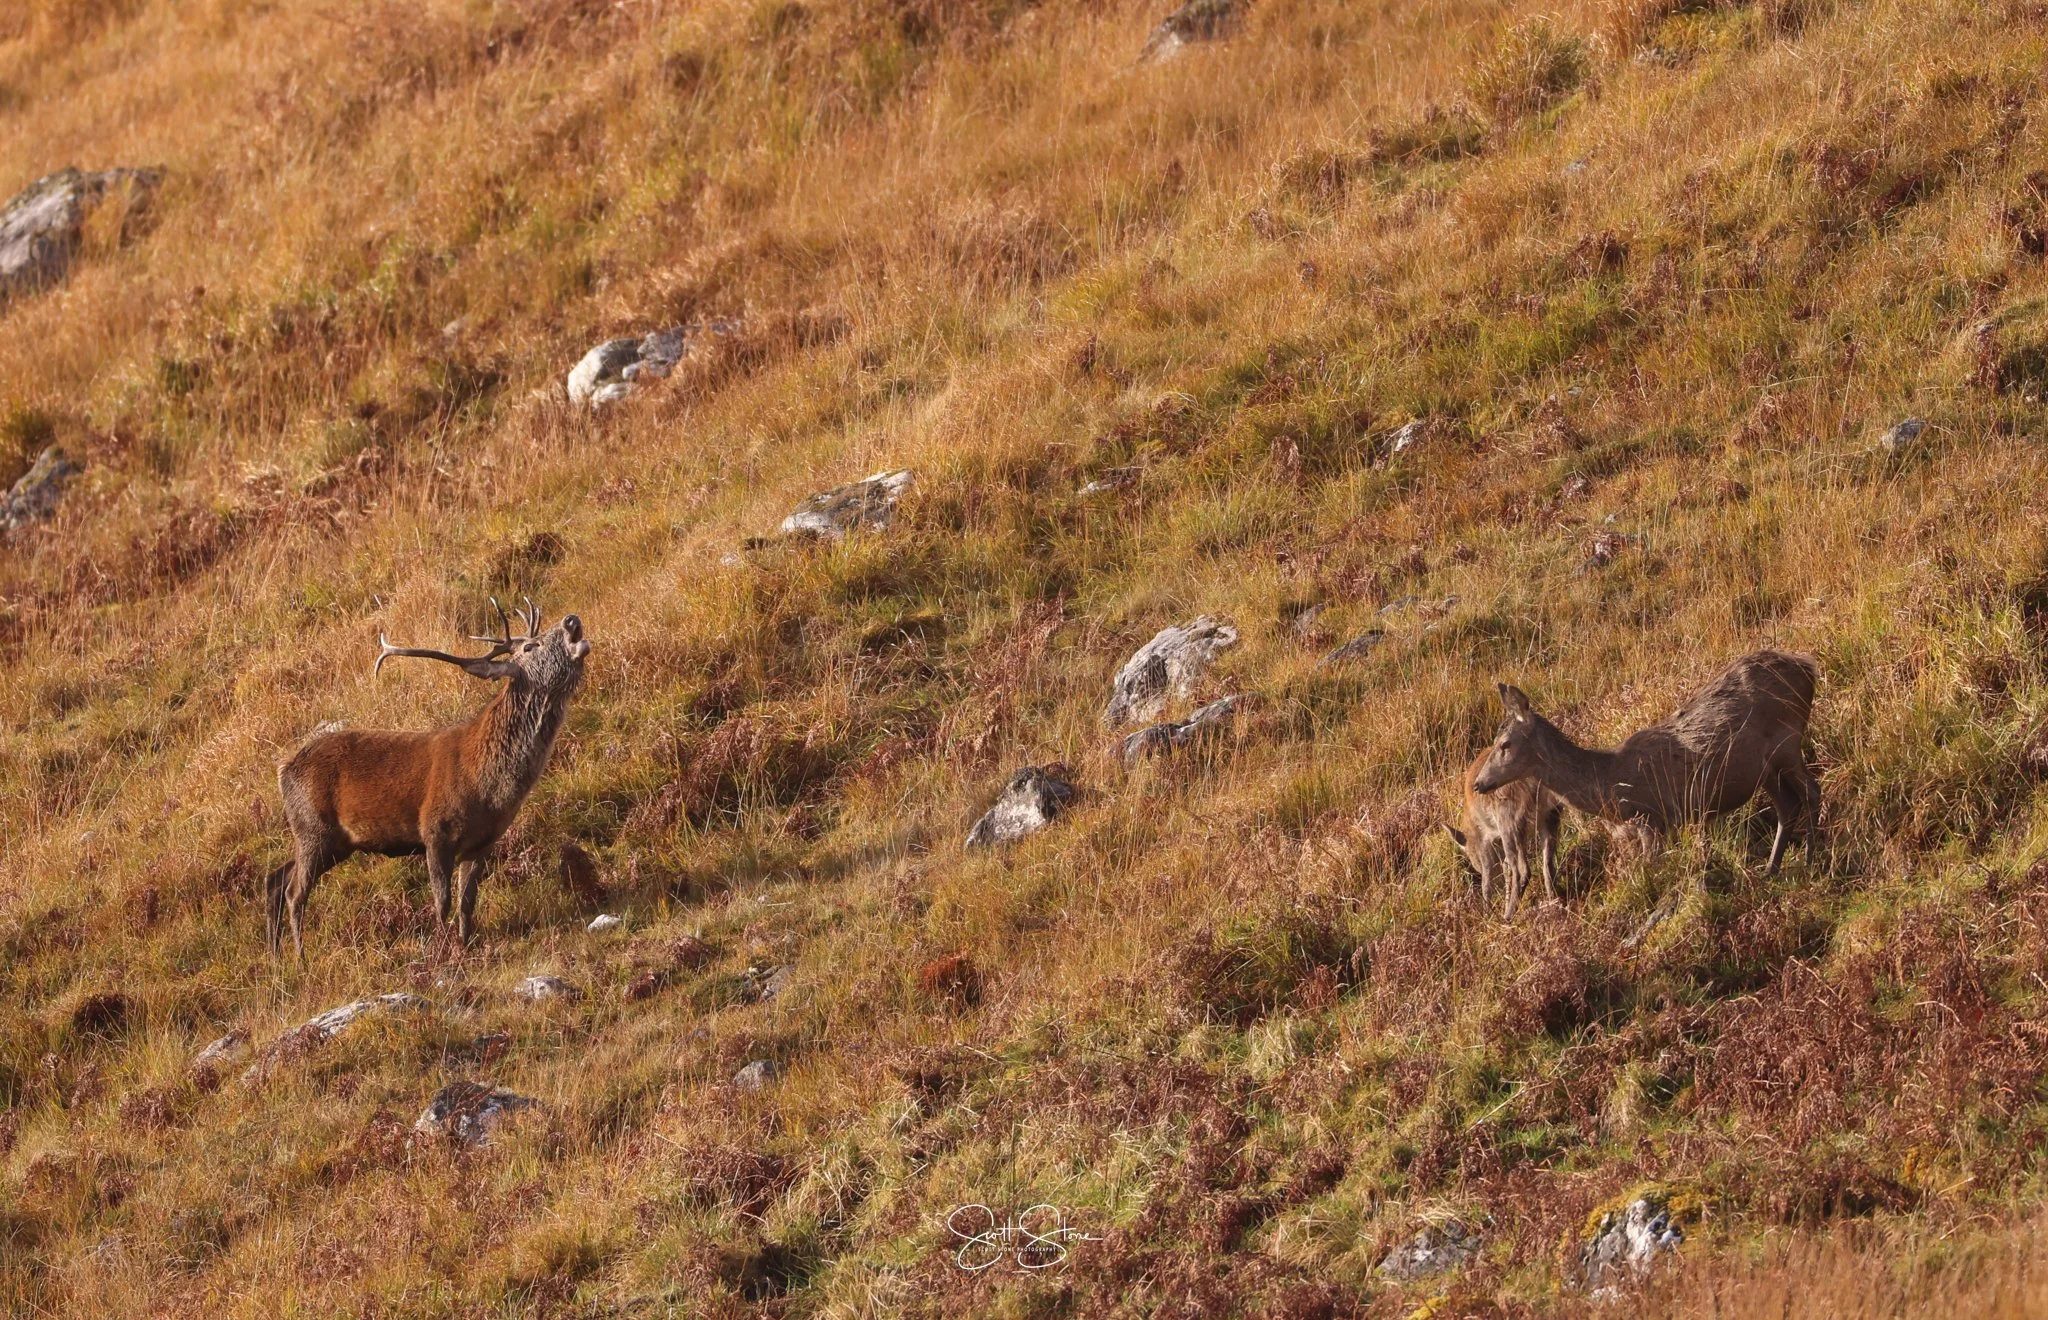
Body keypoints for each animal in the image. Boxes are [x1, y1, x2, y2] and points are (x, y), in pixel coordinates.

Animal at [265, 600, 590, 960]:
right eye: (531, 646)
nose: (571, 620)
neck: (489, 787)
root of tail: (283, 769)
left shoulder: (483, 842)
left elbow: (467, 902)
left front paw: (465, 944)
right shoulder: (435, 831)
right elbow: (442, 901)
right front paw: (439, 951)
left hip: (331, 841)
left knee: (276, 879)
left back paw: (276, 954)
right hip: (313, 829)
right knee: (295, 892)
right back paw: (300, 957)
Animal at [1445, 749, 1562, 919]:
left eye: (1474, 860)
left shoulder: (1484, 842)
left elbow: (1487, 879)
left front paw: (1486, 914)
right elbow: (1506, 869)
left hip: (1509, 821)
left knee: (1523, 870)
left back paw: (1508, 915)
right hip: (1550, 814)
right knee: (1547, 865)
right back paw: (1554, 903)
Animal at [1472, 650, 1820, 875]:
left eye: (1504, 744)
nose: (1479, 783)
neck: (1611, 783)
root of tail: (1808, 666)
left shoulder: (1651, 817)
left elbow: (1652, 871)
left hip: (1788, 742)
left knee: (1812, 791)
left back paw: (1813, 859)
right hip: (1765, 768)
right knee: (1787, 806)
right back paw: (1772, 868)